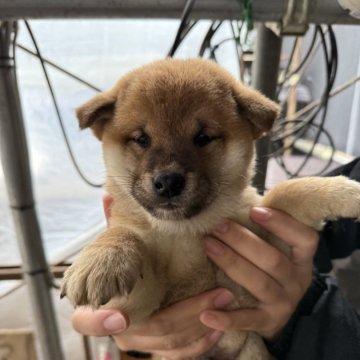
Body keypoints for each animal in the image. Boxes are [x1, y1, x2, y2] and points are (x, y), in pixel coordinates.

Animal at [61, 57, 360, 358]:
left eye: (203, 137)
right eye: (142, 139)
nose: (168, 182)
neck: (186, 232)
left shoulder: (269, 247)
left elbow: (286, 192)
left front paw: (346, 192)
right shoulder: (138, 309)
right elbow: (126, 235)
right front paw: (102, 259)